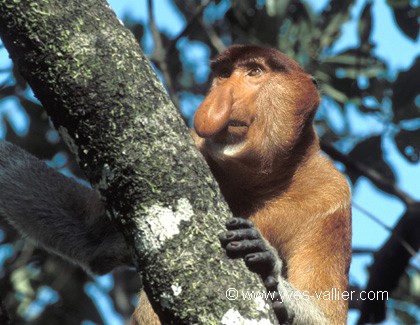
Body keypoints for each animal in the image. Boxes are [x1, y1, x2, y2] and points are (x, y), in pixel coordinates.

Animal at [0, 44, 352, 322]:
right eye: (224, 74)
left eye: (254, 71)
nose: (217, 102)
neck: (258, 181)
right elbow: (90, 235)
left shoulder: (332, 199)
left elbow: (326, 313)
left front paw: (266, 264)